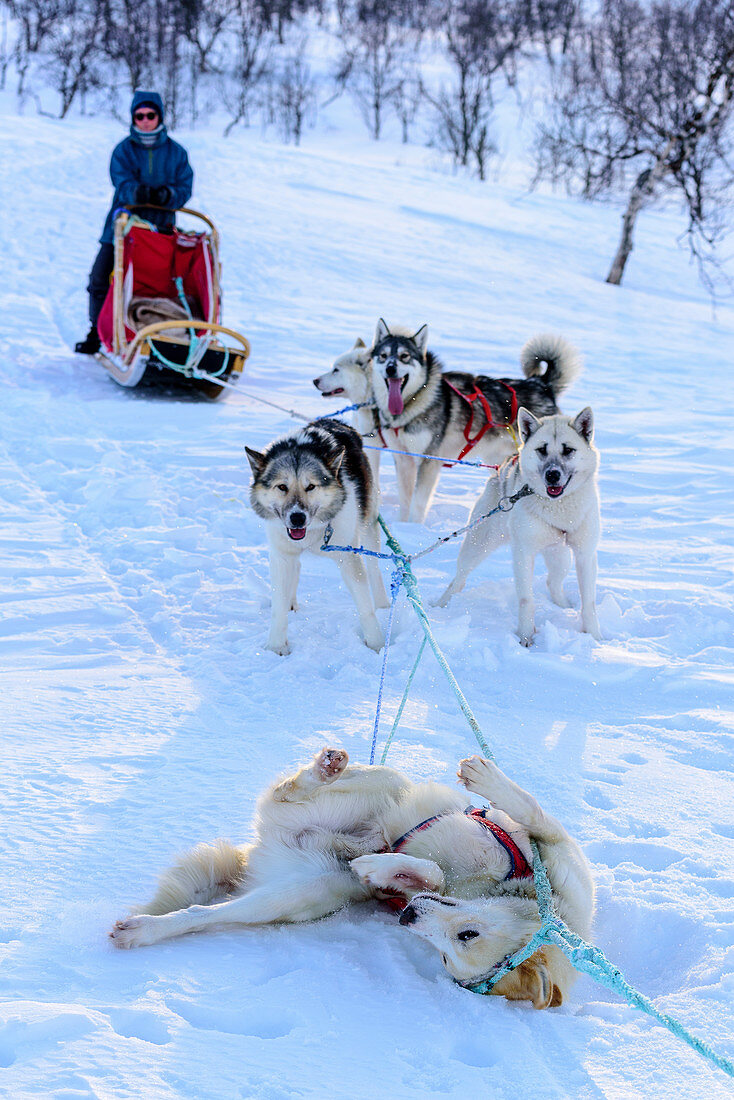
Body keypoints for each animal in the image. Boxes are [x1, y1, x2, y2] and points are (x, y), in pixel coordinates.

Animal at [110, 748, 598, 1012]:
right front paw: (490, 779)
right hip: (384, 784)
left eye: (446, 956)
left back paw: (145, 930)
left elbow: (429, 875)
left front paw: (380, 869)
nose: (406, 918)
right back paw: (326, 774)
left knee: (206, 913)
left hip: (304, 893)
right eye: (468, 934)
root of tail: (267, 844)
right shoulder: (554, 847)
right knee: (296, 790)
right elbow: (532, 809)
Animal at [245, 418, 387, 651]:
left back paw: (384, 604)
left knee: (374, 568)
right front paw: (276, 647)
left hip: (369, 526)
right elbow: (278, 608)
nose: (297, 518)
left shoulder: (347, 556)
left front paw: (377, 645)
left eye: (310, 486)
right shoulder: (282, 556)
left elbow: (365, 608)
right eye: (282, 487)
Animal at [369, 319, 581, 523]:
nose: (390, 368)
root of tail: (540, 384)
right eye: (383, 355)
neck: (413, 402)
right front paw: (402, 525)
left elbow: (418, 503)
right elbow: (406, 500)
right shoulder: (404, 459)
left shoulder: (429, 460)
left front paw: (414, 527)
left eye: (405, 356)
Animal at [435, 407, 603, 642]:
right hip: (478, 546)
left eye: (568, 450)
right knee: (458, 580)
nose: (552, 475)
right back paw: (440, 606)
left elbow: (589, 603)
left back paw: (563, 606)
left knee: (553, 582)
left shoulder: (585, 555)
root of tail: (501, 467)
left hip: (562, 557)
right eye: (542, 450)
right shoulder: (523, 554)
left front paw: (595, 638)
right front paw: (525, 637)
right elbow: (526, 600)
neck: (558, 508)